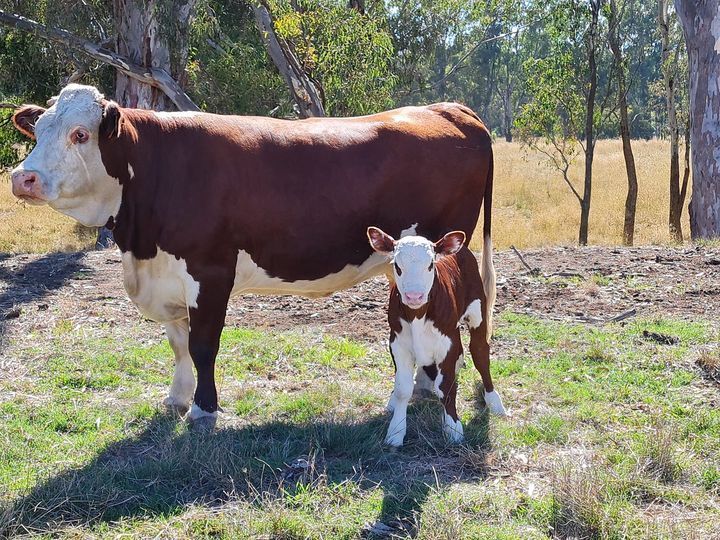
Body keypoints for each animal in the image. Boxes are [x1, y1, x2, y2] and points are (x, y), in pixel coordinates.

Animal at [9, 84, 496, 430]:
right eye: (39, 130)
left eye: (80, 134)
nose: (22, 178)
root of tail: (449, 109)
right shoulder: (168, 276)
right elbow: (178, 343)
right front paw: (177, 397)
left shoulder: (209, 272)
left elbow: (203, 345)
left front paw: (203, 409)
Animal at [368, 226, 504, 446]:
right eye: (397, 265)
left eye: (430, 265)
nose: (414, 296)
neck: (417, 314)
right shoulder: (398, 343)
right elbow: (403, 389)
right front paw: (396, 431)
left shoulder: (446, 343)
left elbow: (446, 387)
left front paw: (453, 428)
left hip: (478, 311)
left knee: (480, 353)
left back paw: (494, 401)